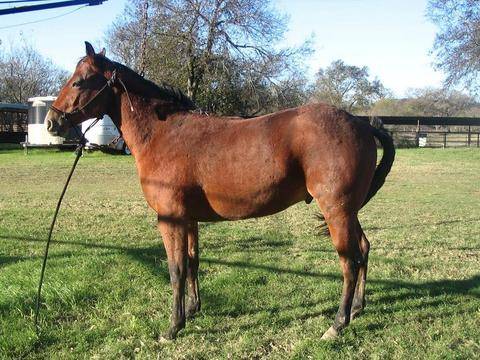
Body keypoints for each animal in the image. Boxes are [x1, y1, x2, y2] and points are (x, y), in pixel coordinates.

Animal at [47, 42, 396, 340]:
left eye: (79, 82)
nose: (52, 122)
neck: (163, 134)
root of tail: (362, 124)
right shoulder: (188, 219)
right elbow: (192, 262)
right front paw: (192, 311)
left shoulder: (170, 219)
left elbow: (175, 270)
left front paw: (172, 327)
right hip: (348, 211)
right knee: (363, 249)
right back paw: (357, 309)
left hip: (336, 211)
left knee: (349, 263)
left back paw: (337, 324)